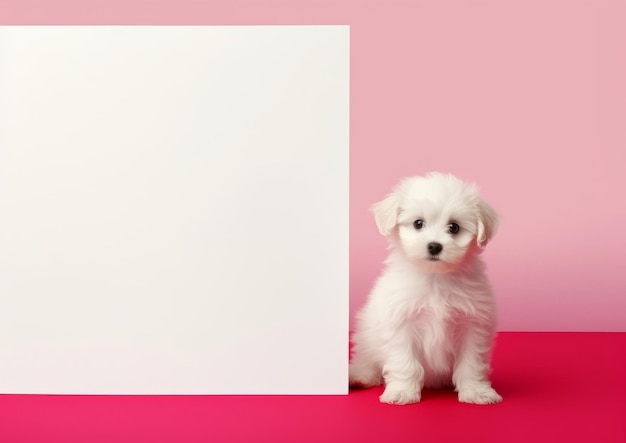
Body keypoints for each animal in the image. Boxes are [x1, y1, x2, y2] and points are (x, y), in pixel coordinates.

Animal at [348, 173, 500, 406]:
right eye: (418, 223)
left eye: (454, 227)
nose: (434, 246)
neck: (435, 276)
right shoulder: (401, 321)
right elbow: (405, 362)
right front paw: (402, 391)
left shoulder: (473, 324)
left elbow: (471, 362)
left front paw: (476, 391)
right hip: (366, 336)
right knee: (366, 358)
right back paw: (359, 376)